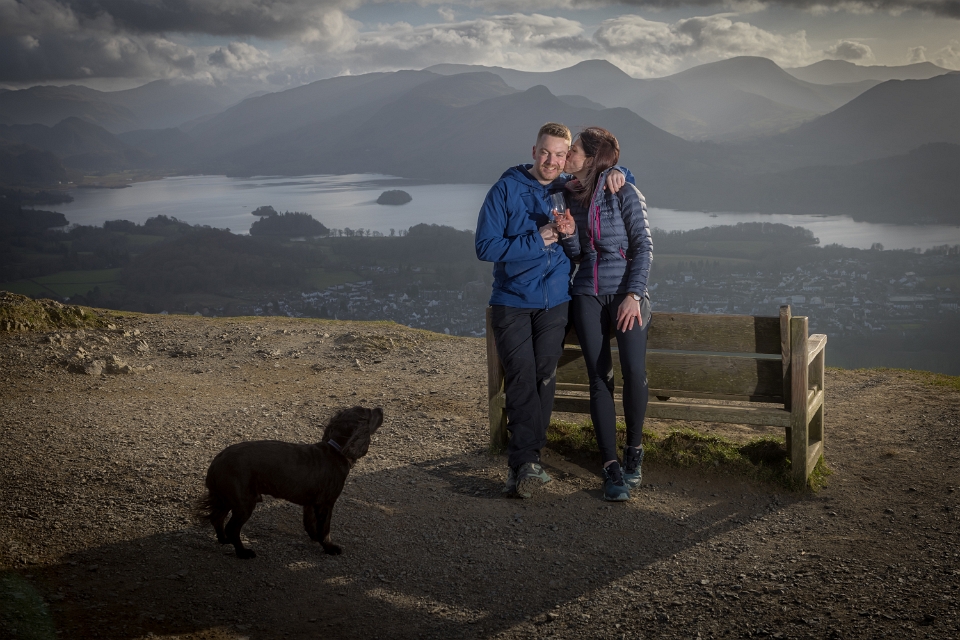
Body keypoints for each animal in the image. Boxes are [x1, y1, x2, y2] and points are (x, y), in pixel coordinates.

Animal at [195, 406, 383, 559]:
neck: (336, 449)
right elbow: (325, 529)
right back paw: (243, 553)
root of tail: (216, 461)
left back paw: (224, 540)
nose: (380, 408)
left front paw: (315, 538)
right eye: (370, 413)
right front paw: (329, 548)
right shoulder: (325, 503)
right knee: (231, 528)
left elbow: (310, 523)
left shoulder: (310, 503)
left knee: (217, 518)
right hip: (243, 502)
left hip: (227, 498)